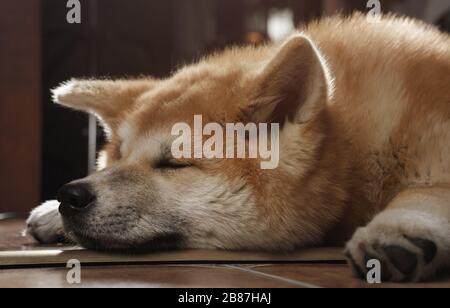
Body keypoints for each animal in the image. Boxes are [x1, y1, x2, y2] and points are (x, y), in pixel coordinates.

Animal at [26, 13, 448, 282]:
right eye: (114, 159)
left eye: (174, 164)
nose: (70, 195)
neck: (351, 155)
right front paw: (50, 213)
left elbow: (425, 191)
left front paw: (397, 227)